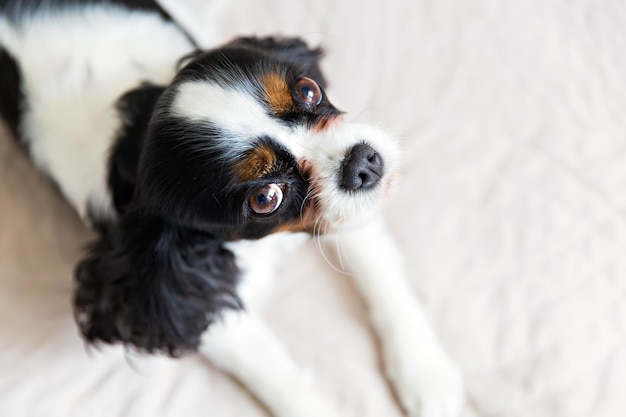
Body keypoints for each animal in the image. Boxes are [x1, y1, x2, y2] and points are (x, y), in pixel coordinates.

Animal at [0, 1, 464, 414]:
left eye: (309, 90)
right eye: (264, 199)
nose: (364, 162)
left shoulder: (345, 213)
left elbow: (383, 278)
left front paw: (428, 376)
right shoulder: (187, 300)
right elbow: (276, 376)